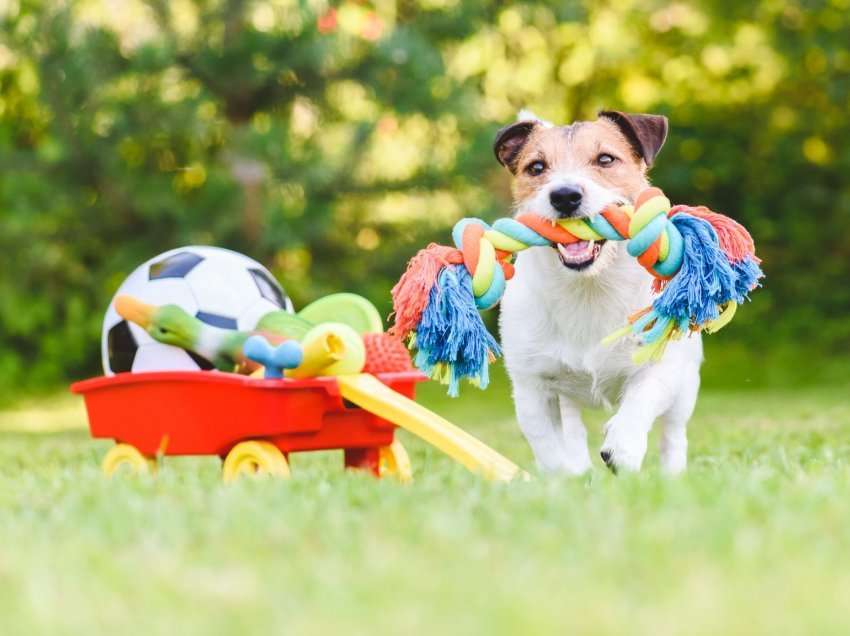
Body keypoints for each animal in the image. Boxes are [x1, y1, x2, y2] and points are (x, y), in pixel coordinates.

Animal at [494, 112, 700, 474]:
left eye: (605, 159)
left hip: (686, 385)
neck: (589, 288)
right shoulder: (532, 387)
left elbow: (641, 399)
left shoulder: (660, 366)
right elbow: (550, 448)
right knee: (572, 431)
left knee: (673, 433)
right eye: (536, 167)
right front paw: (565, 478)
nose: (564, 195)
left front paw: (623, 446)